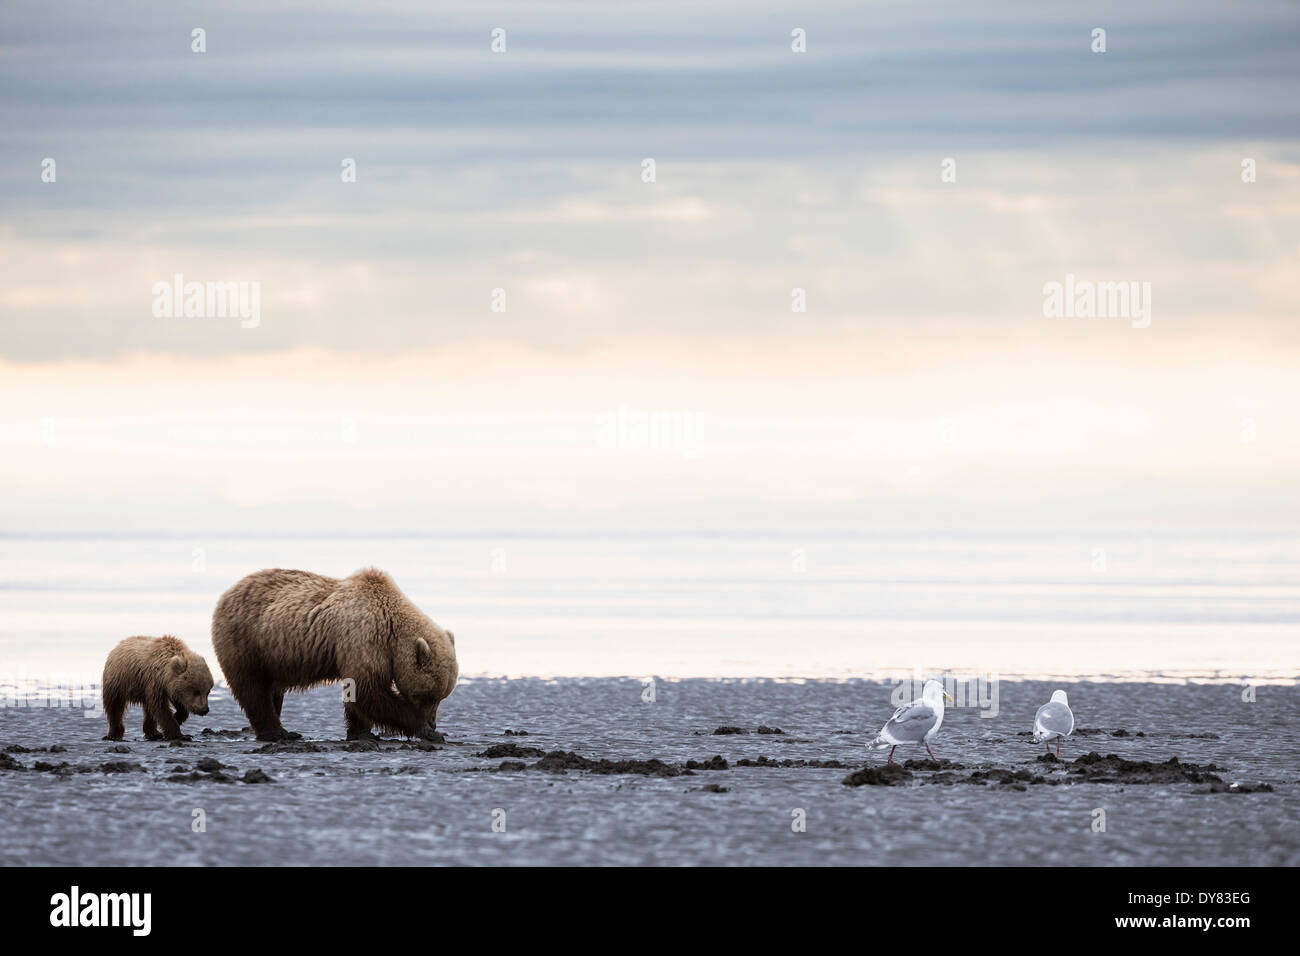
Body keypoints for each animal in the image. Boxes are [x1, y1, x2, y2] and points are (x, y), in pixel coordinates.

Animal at [211, 567, 458, 741]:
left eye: (442, 696)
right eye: (426, 696)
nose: (433, 722)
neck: (391, 631)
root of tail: (226, 593)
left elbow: (359, 694)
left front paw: (362, 731)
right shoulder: (365, 638)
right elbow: (369, 690)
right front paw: (427, 730)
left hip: (270, 653)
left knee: (271, 690)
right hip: (245, 640)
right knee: (253, 689)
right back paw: (278, 732)